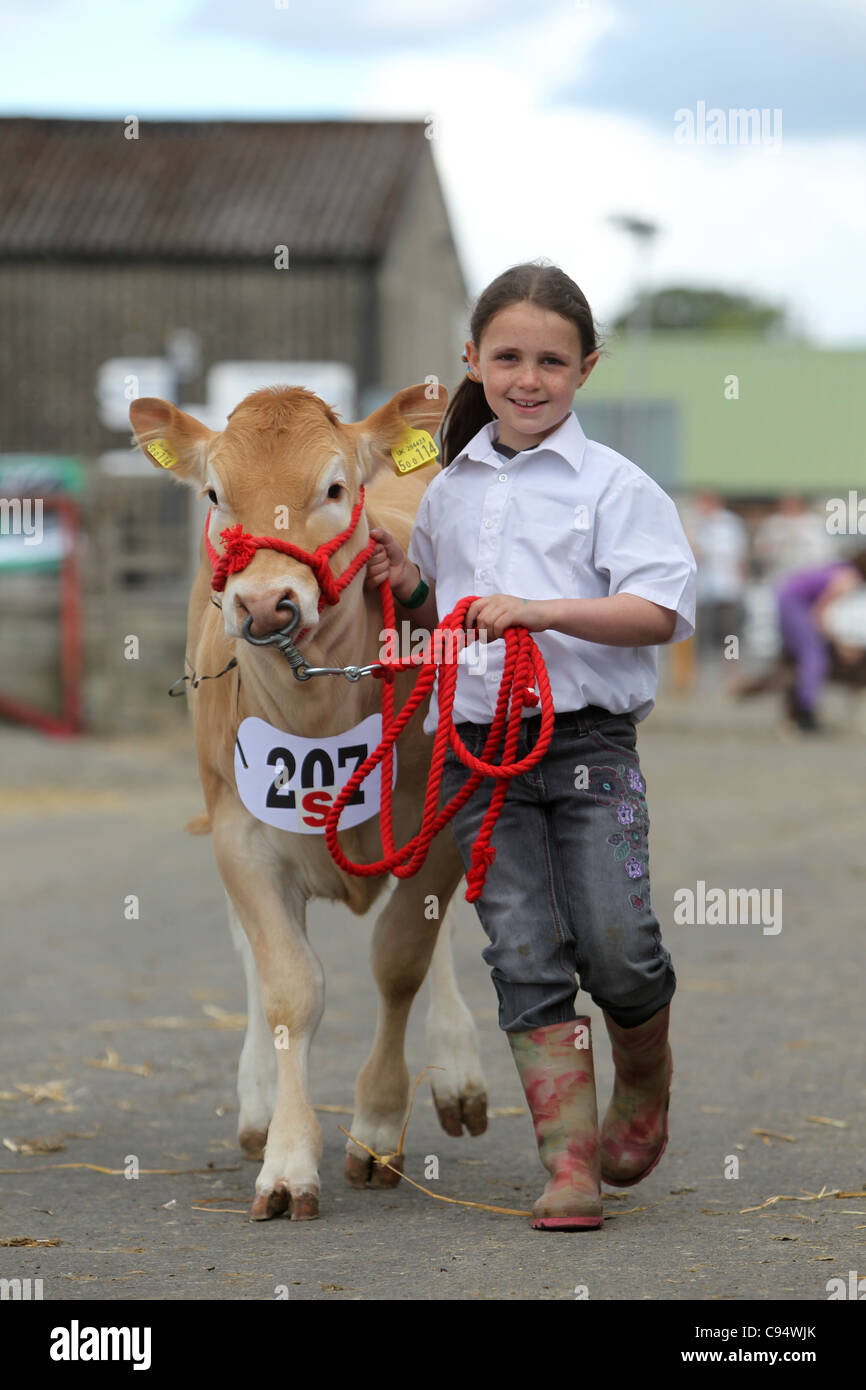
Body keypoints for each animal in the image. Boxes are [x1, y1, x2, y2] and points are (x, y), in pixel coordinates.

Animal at [132, 380, 492, 1217]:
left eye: (332, 489)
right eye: (215, 494)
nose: (266, 605)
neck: (320, 710)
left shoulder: (438, 828)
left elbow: (402, 960)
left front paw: (378, 1124)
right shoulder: (241, 836)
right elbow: (290, 990)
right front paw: (289, 1160)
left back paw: (458, 1071)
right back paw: (260, 1103)